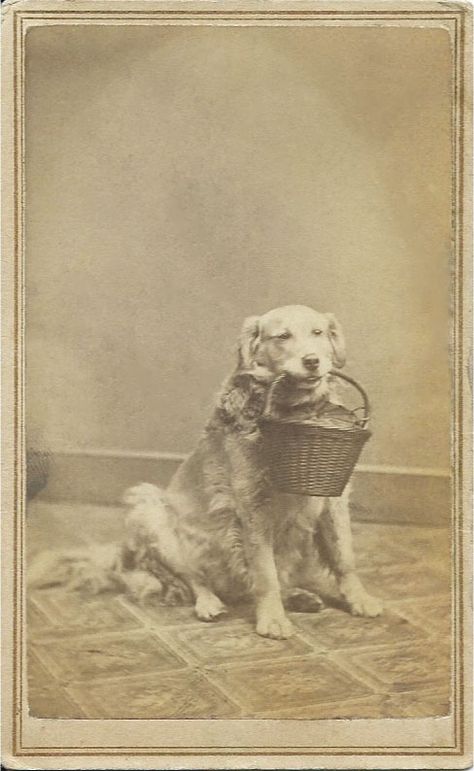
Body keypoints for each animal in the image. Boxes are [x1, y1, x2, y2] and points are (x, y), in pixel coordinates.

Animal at [29, 304, 384, 640]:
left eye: (318, 332)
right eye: (283, 336)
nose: (312, 361)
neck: (294, 412)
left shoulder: (334, 498)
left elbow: (344, 557)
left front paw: (360, 600)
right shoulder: (252, 506)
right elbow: (264, 572)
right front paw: (272, 619)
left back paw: (297, 595)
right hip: (150, 509)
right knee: (192, 578)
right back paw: (210, 603)